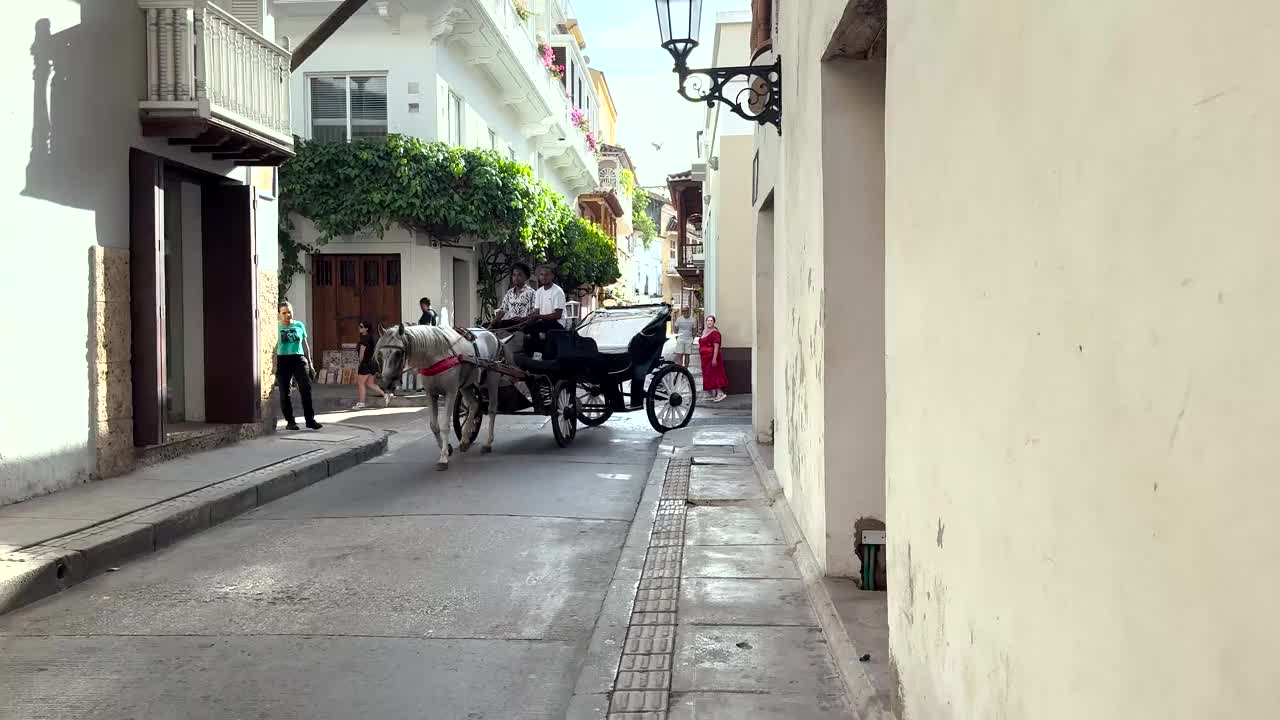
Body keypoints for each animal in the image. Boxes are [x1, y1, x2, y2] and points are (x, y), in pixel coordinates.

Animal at [373, 322, 501, 468]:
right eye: (380, 354)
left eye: (398, 353)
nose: (385, 384)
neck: (435, 357)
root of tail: (491, 333)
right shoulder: (431, 394)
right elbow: (434, 426)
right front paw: (447, 449)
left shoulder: (451, 393)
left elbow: (445, 425)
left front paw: (443, 457)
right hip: (466, 384)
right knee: (474, 405)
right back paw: (465, 440)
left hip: (492, 376)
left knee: (492, 409)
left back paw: (488, 443)